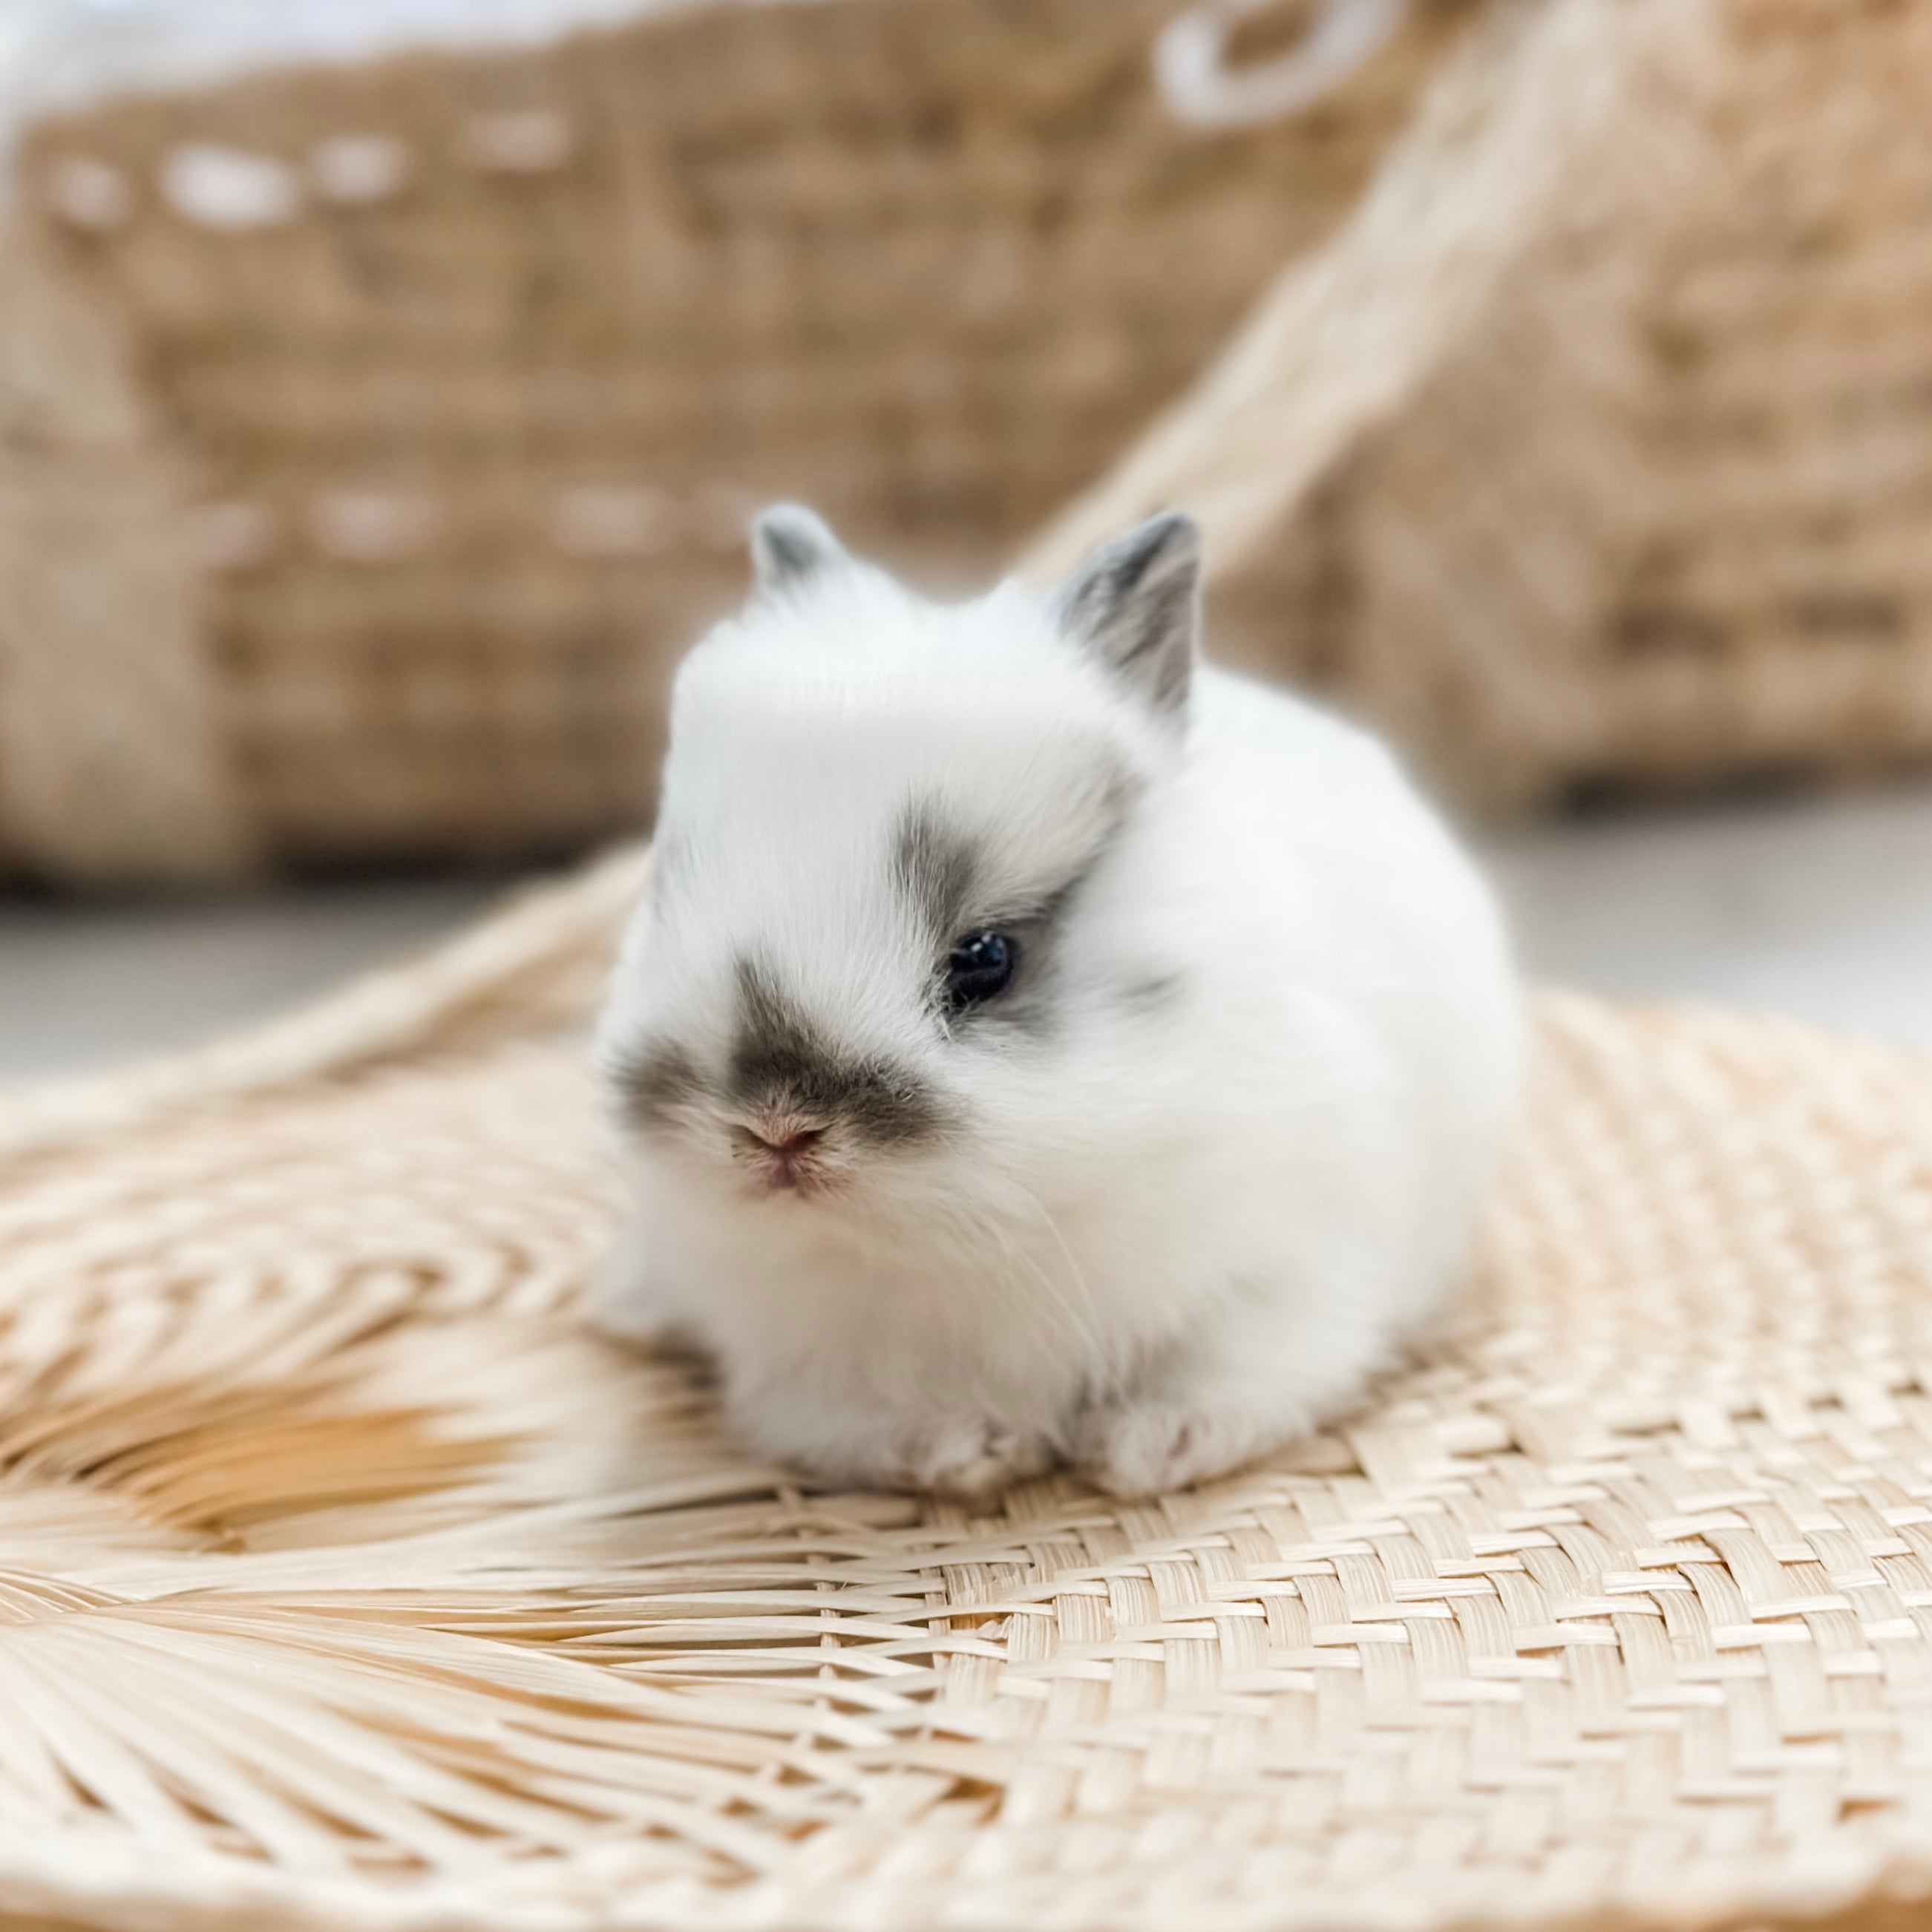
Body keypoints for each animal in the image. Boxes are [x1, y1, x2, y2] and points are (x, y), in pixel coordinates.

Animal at [593, 504, 1520, 1500]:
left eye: (985, 958)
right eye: (663, 898)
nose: (775, 1129)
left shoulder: (1288, 1274)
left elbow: (1238, 1370)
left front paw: (1150, 1448)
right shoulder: (796, 1358)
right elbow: (847, 1420)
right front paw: (970, 1447)